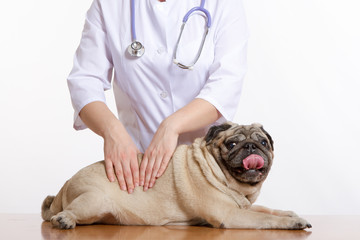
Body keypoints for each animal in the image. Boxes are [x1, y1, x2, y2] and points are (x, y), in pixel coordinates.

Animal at [41, 123, 312, 230]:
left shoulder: (242, 206)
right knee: (64, 214)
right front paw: (293, 223)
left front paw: (291, 213)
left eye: (263, 142)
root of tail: (65, 185)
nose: (251, 147)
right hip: (94, 201)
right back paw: (64, 219)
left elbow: (268, 210)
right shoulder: (231, 214)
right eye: (232, 143)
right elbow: (265, 218)